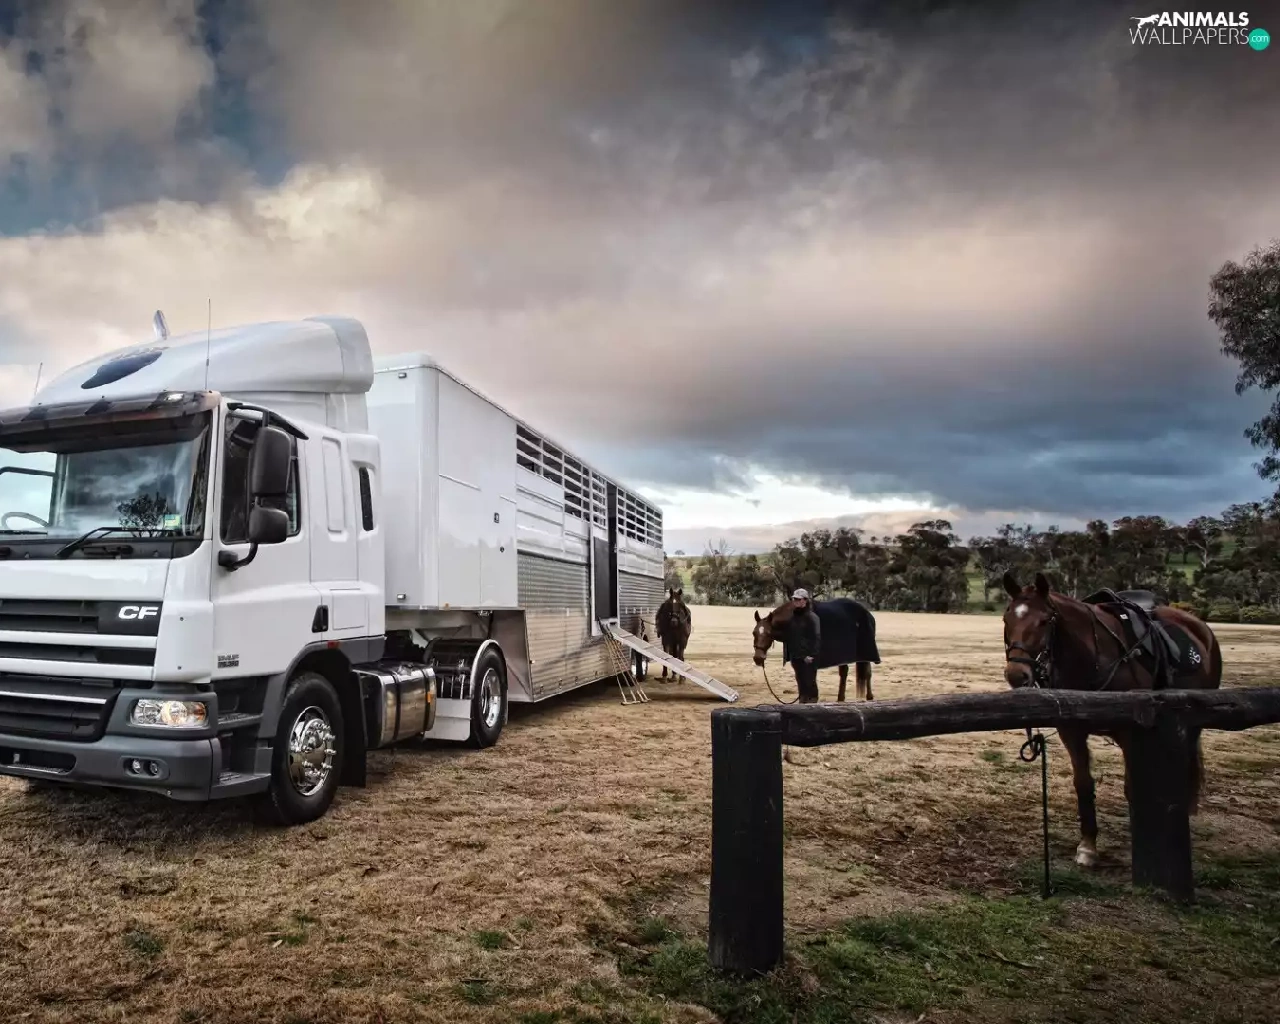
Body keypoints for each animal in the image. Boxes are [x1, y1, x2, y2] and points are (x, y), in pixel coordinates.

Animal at [752, 597, 881, 701]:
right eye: (754, 633)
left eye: (769, 633)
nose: (758, 658)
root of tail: (868, 613)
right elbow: (800, 678)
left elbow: (809, 678)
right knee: (844, 672)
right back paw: (840, 698)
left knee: (867, 672)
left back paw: (869, 696)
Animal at [1001, 570, 1223, 869]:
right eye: (1007, 619)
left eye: (1045, 621)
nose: (1017, 674)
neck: (1092, 658)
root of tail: (1201, 628)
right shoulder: (1072, 731)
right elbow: (1083, 784)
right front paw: (1087, 846)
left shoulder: (1131, 731)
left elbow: (1132, 787)